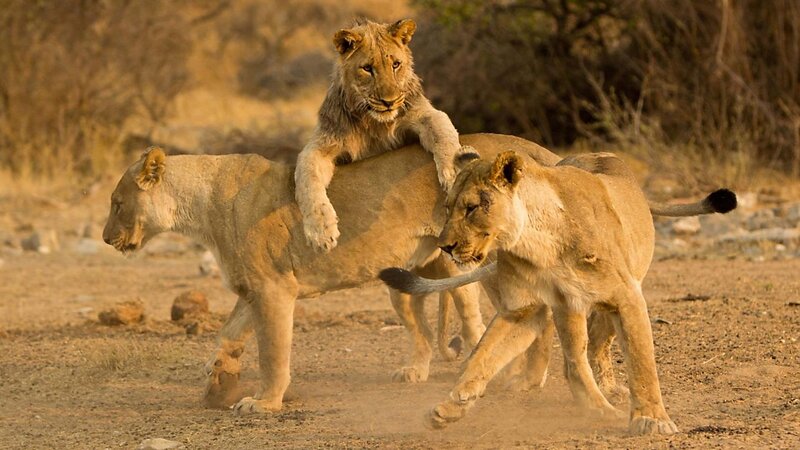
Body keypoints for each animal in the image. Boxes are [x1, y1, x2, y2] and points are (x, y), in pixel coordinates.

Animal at [101, 133, 563, 414]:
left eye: (117, 204)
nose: (105, 238)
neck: (201, 209)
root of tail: (528, 149)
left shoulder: (273, 289)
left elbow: (272, 353)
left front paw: (263, 402)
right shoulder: (253, 288)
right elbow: (228, 334)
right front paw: (219, 382)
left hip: (484, 257)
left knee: (532, 317)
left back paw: (526, 379)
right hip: (407, 273)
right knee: (427, 327)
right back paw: (417, 371)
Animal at [295, 18, 464, 251]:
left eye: (396, 64)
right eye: (367, 69)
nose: (389, 102)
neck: (373, 123)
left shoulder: (423, 114)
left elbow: (443, 133)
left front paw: (455, 175)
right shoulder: (322, 144)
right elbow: (306, 177)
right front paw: (320, 231)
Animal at [380, 150, 736, 435]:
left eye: (471, 208)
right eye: (447, 207)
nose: (445, 246)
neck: (539, 244)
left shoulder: (626, 297)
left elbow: (641, 361)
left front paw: (652, 420)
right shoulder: (524, 309)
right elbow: (482, 357)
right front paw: (453, 405)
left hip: (605, 298)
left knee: (596, 349)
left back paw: (609, 394)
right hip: (568, 307)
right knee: (574, 361)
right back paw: (599, 409)